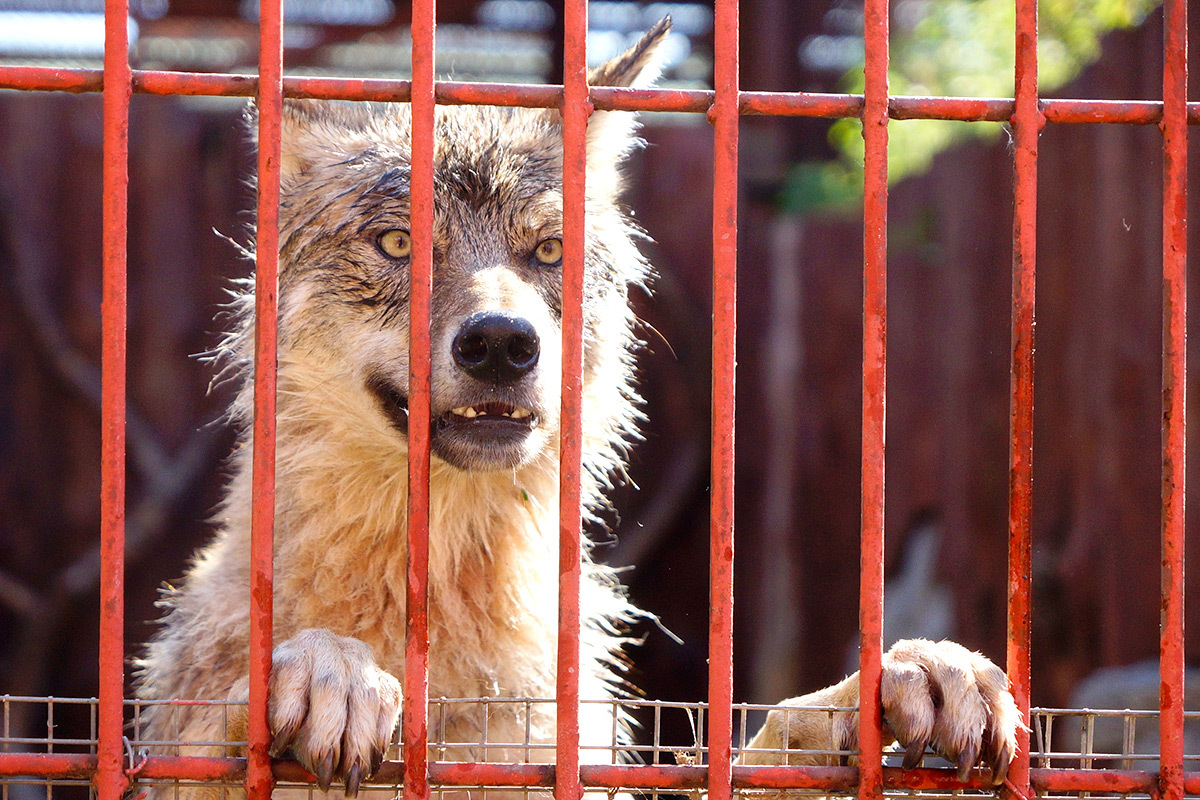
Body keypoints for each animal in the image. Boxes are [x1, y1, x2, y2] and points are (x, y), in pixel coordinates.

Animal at [138, 21, 1022, 796]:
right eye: (397, 244)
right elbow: (213, 734)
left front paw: (906, 671)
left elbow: (768, 743)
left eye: (548, 251)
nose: (501, 342)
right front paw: (328, 667)